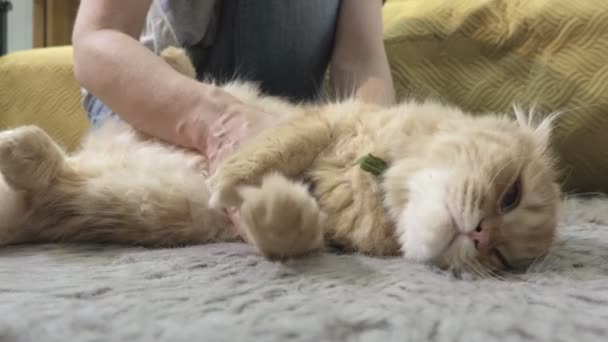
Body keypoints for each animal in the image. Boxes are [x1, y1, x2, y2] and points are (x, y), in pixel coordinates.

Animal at [0, 47, 560, 276]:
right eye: (511, 194)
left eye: (502, 259)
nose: (481, 235)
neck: (370, 186)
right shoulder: (323, 124)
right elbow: (271, 150)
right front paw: (228, 180)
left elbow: (289, 232)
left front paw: (273, 204)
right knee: (181, 71)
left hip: (113, 202)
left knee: (48, 178)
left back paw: (16, 144)